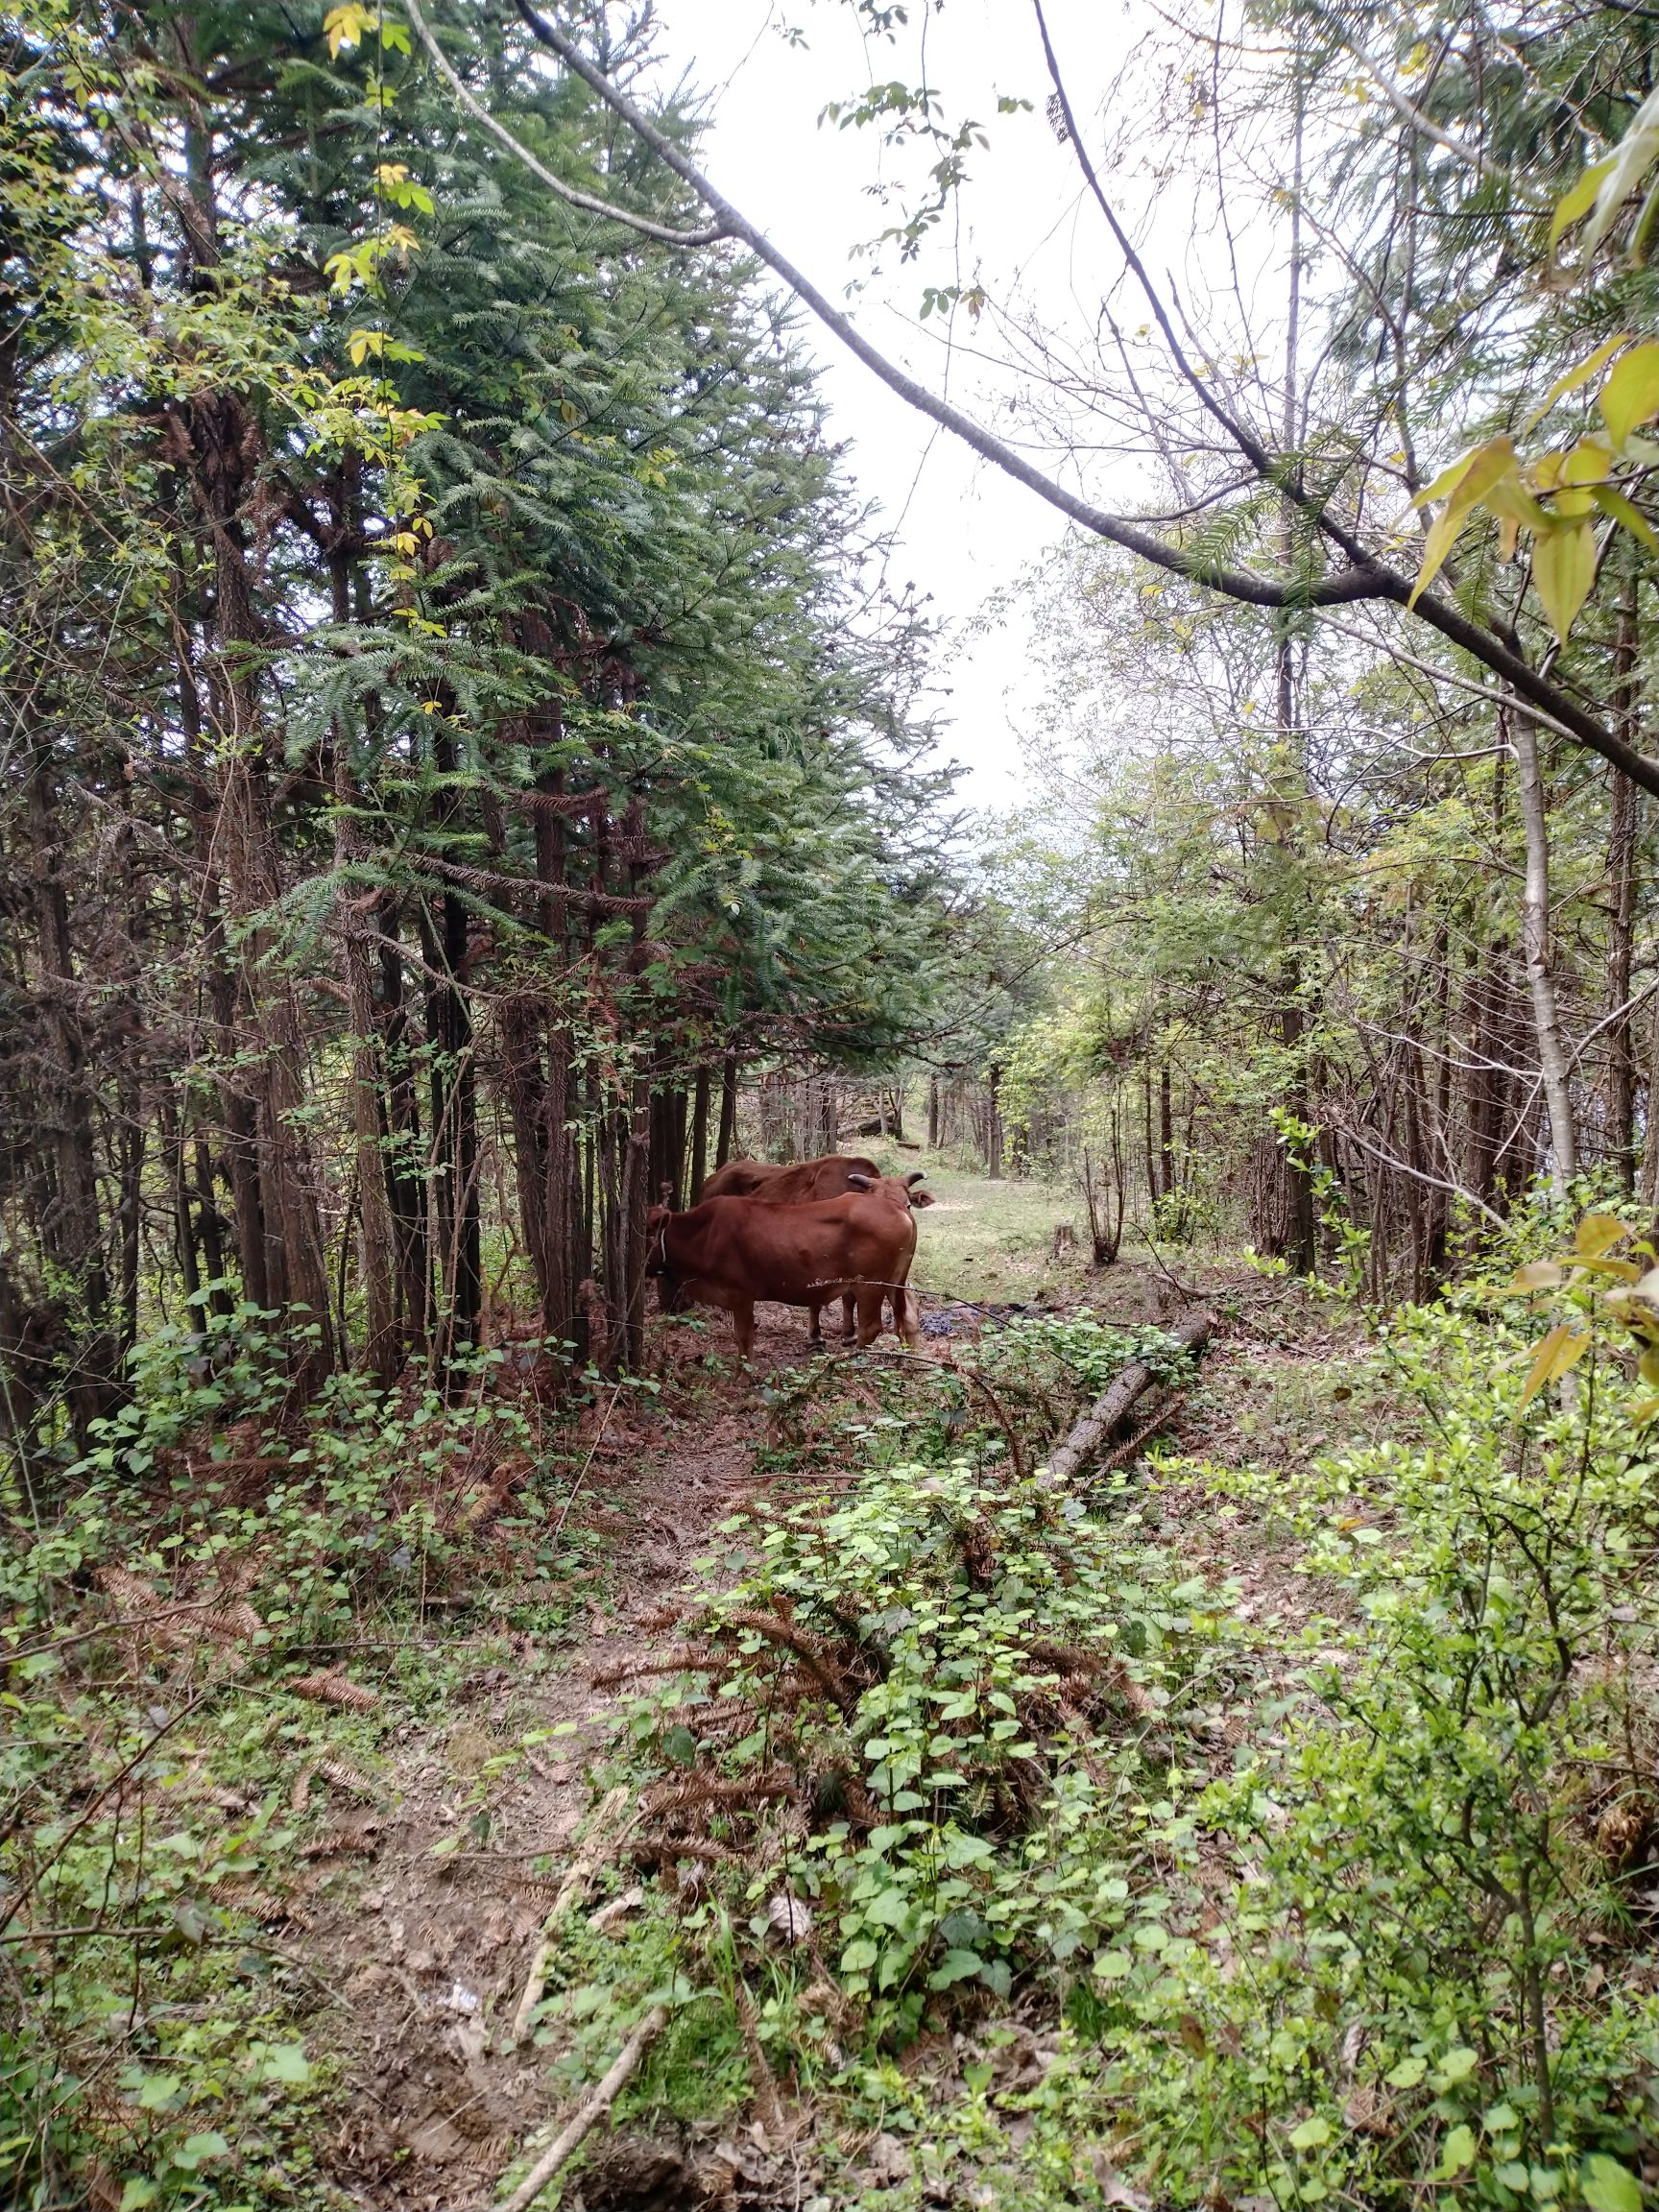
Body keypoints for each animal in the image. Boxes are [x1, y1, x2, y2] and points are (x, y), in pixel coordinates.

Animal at [641, 1194, 925, 1362]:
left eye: (643, 1232)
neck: (704, 1235)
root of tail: (897, 1206)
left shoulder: (740, 1294)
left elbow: (744, 1336)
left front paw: (743, 1377)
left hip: (869, 1284)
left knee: (871, 1327)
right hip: (895, 1280)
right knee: (908, 1316)